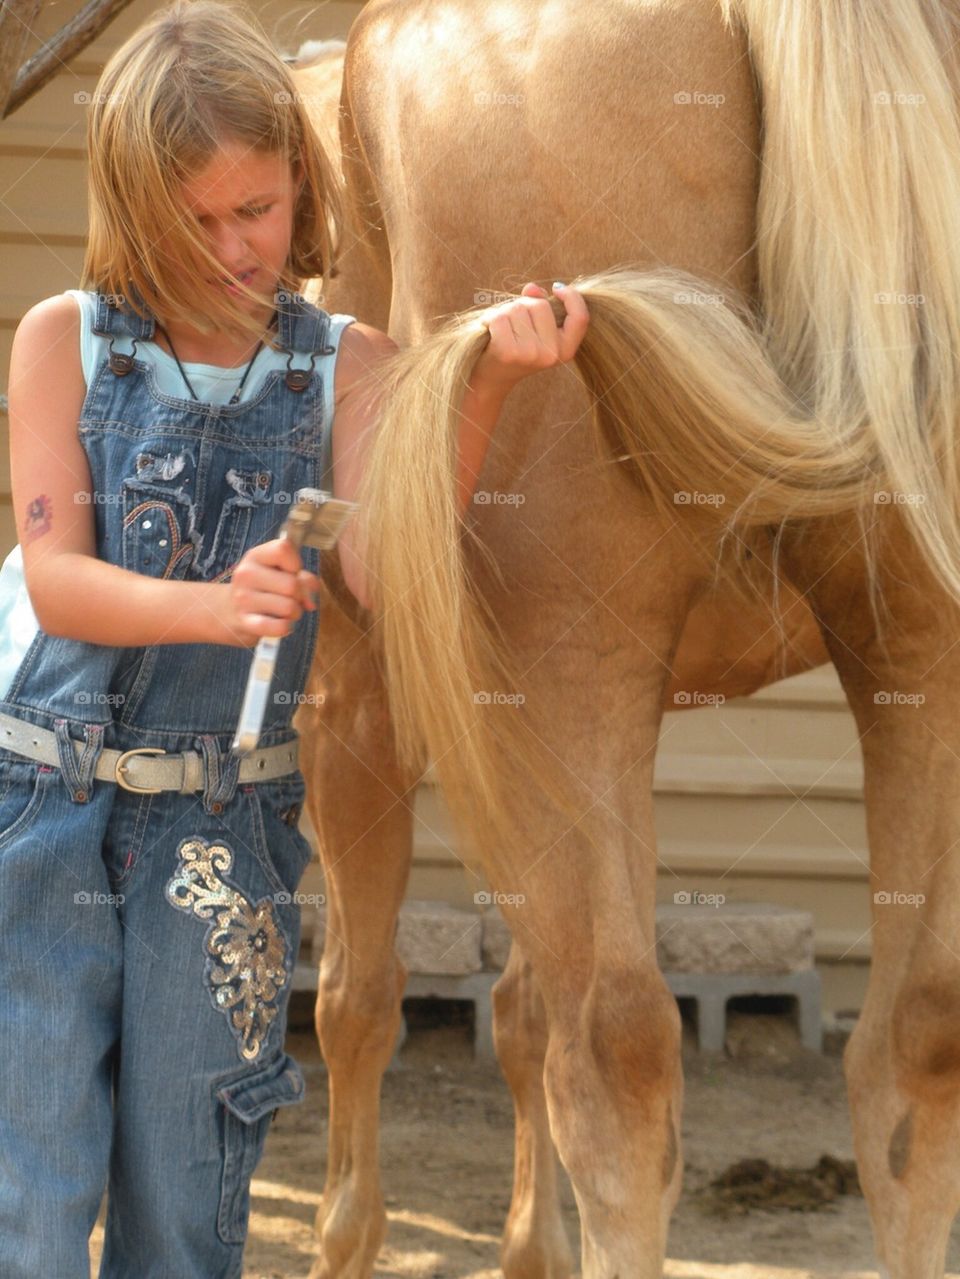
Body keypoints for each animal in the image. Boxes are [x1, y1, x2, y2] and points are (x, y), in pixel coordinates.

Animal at [292, 2, 960, 1279]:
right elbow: (506, 1008)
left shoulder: (358, 711)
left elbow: (358, 995)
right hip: (918, 654)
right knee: (912, 1048)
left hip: (568, 659)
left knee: (614, 1052)